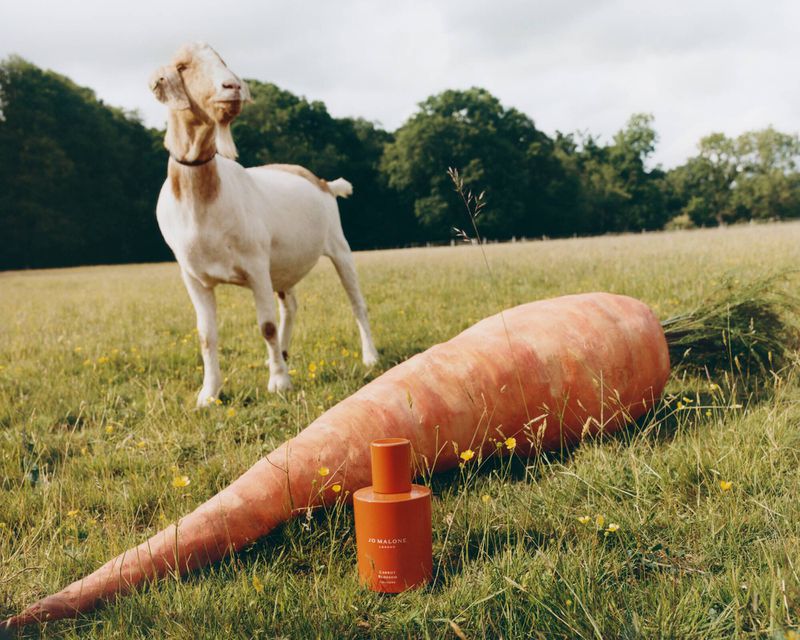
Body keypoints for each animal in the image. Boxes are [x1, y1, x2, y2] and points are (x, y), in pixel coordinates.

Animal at [149, 42, 379, 406]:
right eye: (183, 67)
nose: (232, 86)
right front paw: (208, 394)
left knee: (357, 302)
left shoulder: (256, 265)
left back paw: (369, 356)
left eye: (223, 60)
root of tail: (323, 182)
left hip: (339, 247)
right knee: (291, 305)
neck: (205, 200)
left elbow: (266, 326)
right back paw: (282, 352)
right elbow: (206, 335)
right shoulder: (193, 277)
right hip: (282, 266)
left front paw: (279, 383)